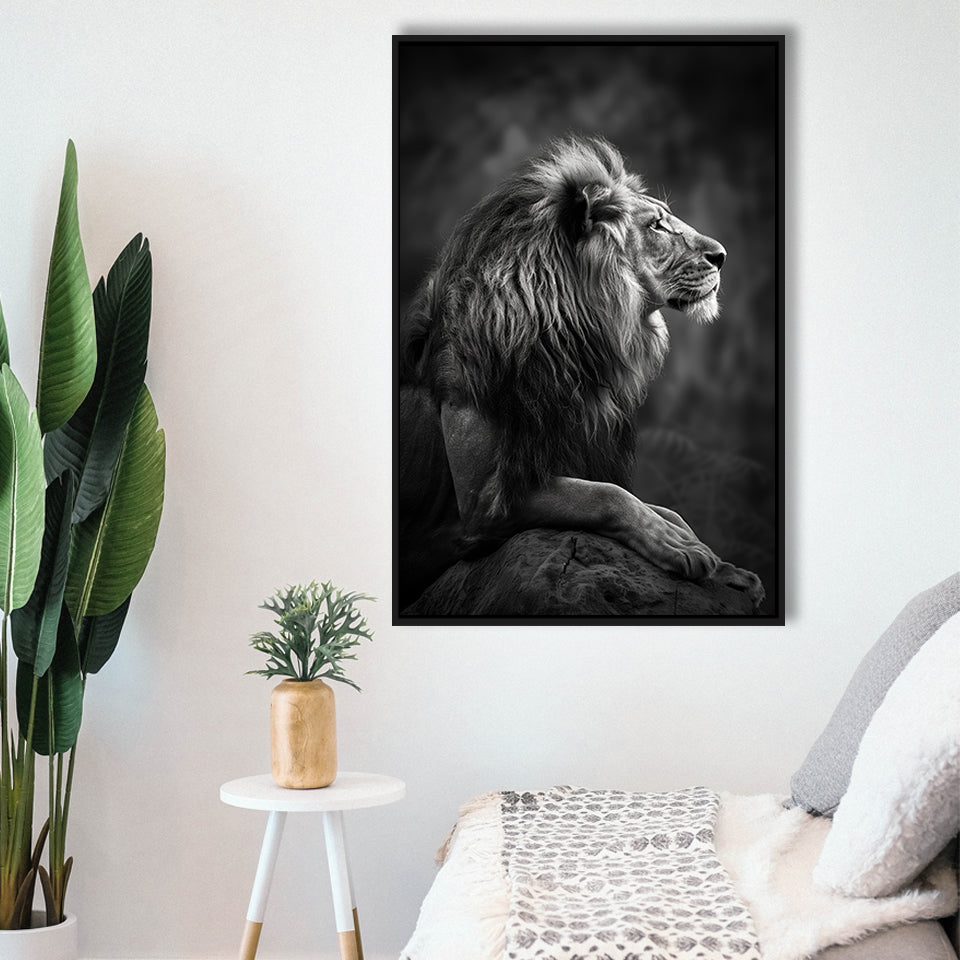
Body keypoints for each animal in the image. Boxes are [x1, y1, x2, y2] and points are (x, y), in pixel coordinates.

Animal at [398, 135, 764, 612]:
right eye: (657, 226)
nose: (721, 256)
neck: (570, 340)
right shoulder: (482, 504)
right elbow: (607, 495)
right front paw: (677, 546)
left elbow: (664, 508)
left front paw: (725, 567)